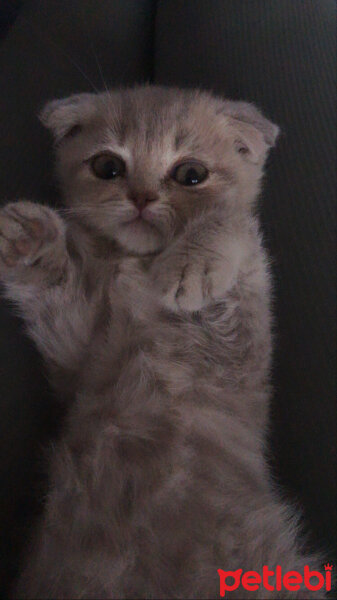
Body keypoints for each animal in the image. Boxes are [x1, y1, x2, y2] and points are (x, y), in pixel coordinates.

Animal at [0, 86, 326, 596]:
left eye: (191, 174)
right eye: (107, 167)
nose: (140, 197)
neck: (136, 265)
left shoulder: (240, 335)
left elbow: (232, 220)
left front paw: (191, 263)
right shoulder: (76, 355)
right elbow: (57, 294)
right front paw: (28, 239)